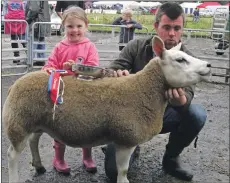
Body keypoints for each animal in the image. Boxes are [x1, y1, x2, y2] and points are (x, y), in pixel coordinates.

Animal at [2, 36, 211, 183]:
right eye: (180, 59)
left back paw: (39, 166)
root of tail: (15, 85)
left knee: (34, 140)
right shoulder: (126, 140)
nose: (208, 65)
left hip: (36, 121)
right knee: (12, 154)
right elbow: (123, 171)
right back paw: (15, 176)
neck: (144, 89)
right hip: (18, 121)